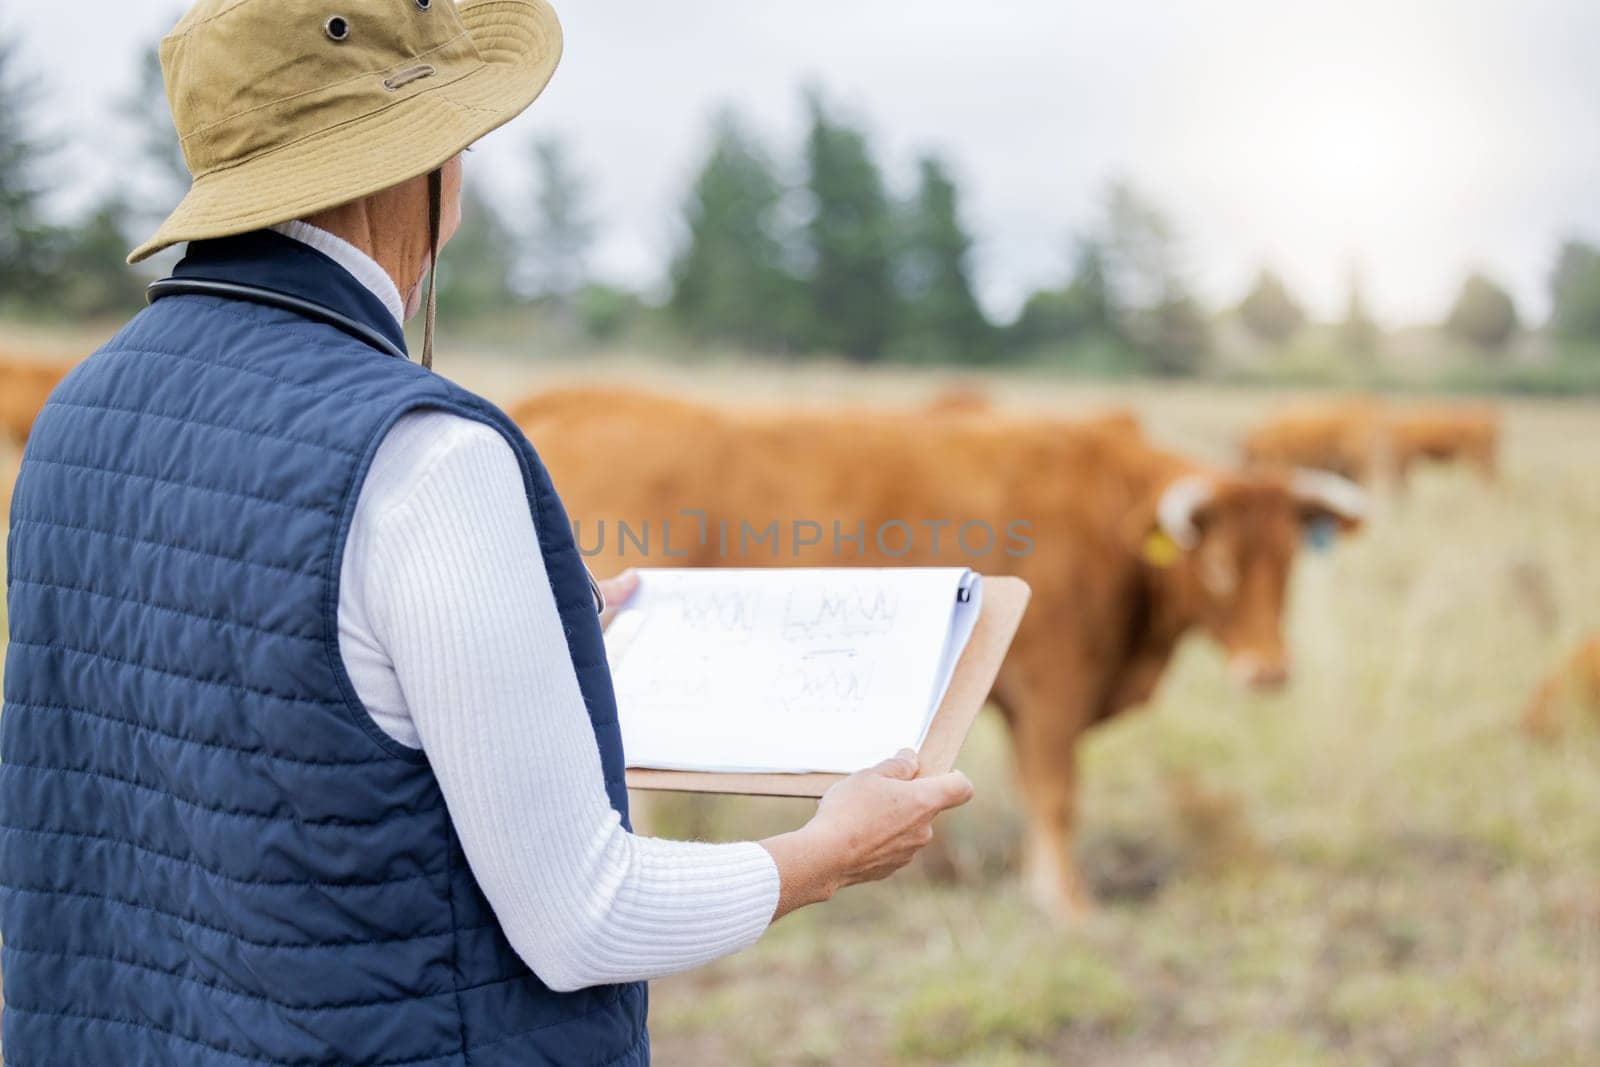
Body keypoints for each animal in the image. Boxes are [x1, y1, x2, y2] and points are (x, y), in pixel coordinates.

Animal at [512, 388, 1363, 921]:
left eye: (1288, 560)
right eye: (1217, 565)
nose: (1268, 669)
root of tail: (574, 397)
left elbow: (1032, 791)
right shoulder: (1054, 686)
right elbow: (1057, 793)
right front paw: (1067, 902)